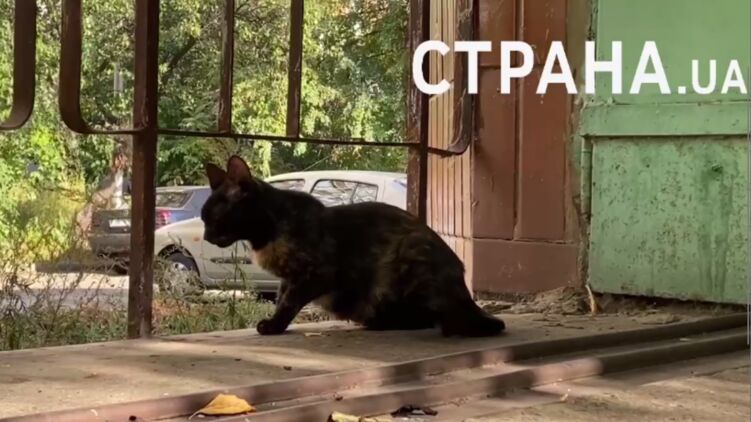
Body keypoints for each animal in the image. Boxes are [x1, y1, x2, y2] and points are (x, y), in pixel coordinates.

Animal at [201, 155, 505, 337]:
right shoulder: (289, 276)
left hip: (412, 258)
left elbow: (289, 301)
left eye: (214, 218)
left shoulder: (316, 273)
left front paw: (273, 325)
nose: (205, 236)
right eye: (204, 219)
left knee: (437, 320)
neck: (270, 230)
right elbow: (281, 296)